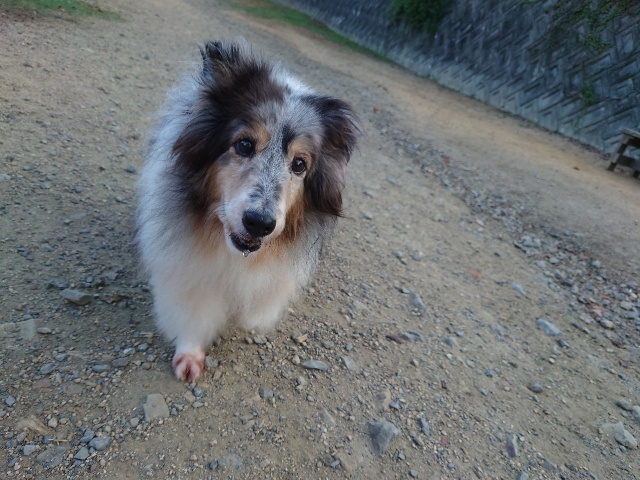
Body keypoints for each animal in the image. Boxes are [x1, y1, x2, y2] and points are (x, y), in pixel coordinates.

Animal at [136, 40, 359, 381]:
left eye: (299, 164)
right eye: (243, 145)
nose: (259, 223)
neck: (234, 252)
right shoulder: (186, 266)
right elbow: (192, 309)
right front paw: (189, 356)